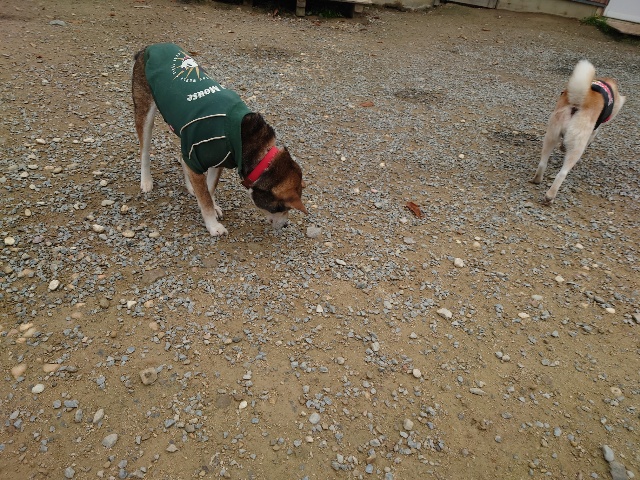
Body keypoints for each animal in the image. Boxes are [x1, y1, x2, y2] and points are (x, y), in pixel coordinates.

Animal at [131, 43, 307, 236]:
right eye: (280, 207)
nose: (285, 225)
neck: (247, 139)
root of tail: (149, 47)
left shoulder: (217, 161)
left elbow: (209, 190)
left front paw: (211, 206)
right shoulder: (197, 157)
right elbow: (205, 198)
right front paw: (213, 225)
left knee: (183, 159)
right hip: (145, 112)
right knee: (144, 151)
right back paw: (146, 180)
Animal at [531, 59, 625, 203]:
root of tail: (578, 103)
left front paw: (562, 147)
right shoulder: (594, 130)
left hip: (551, 136)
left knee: (542, 163)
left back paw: (537, 179)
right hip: (577, 147)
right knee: (562, 174)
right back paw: (550, 196)